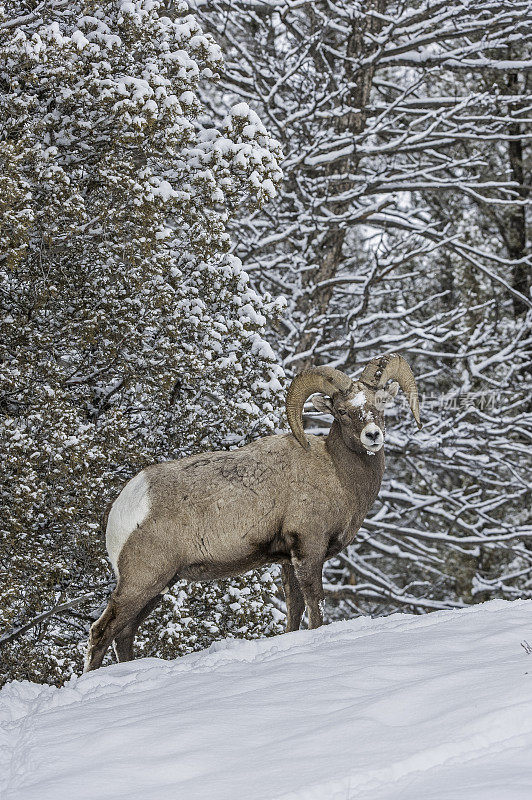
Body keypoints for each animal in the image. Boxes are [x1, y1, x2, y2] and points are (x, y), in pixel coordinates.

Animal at [85, 354, 422, 672]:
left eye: (380, 403)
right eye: (341, 411)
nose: (372, 436)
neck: (336, 472)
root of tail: (123, 507)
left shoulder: (288, 561)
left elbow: (294, 612)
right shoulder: (309, 551)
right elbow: (315, 607)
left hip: (159, 585)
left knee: (124, 634)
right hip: (142, 582)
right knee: (102, 632)